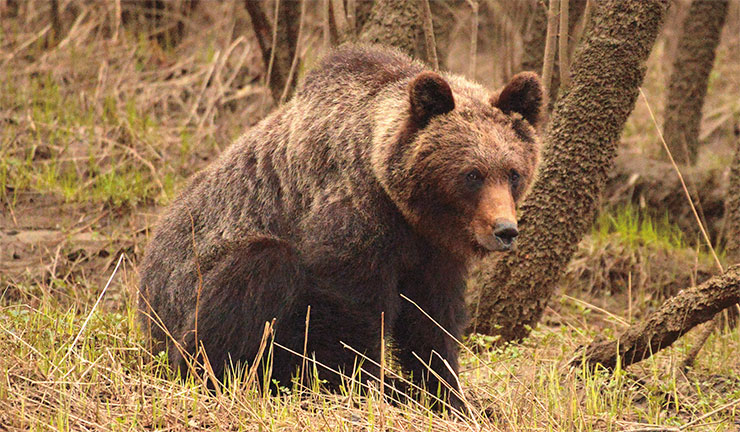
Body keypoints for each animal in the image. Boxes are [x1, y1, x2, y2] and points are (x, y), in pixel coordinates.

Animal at [139, 44, 543, 410]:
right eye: (472, 174)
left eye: (513, 172)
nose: (505, 230)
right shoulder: (353, 220)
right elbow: (352, 318)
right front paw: (367, 388)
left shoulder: (432, 248)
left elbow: (432, 321)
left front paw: (450, 396)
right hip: (185, 292)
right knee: (258, 270)